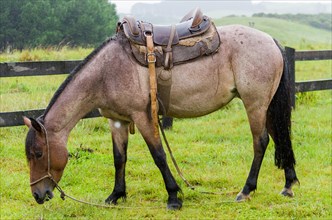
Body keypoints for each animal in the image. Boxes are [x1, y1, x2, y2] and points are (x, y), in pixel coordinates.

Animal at [23, 13, 298, 210]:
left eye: (38, 153)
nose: (38, 195)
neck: (107, 72)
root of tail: (271, 40)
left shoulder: (142, 117)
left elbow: (158, 155)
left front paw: (174, 197)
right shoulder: (117, 121)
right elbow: (119, 158)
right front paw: (115, 196)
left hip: (255, 104)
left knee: (261, 142)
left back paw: (246, 190)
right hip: (266, 106)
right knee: (280, 138)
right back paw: (288, 185)